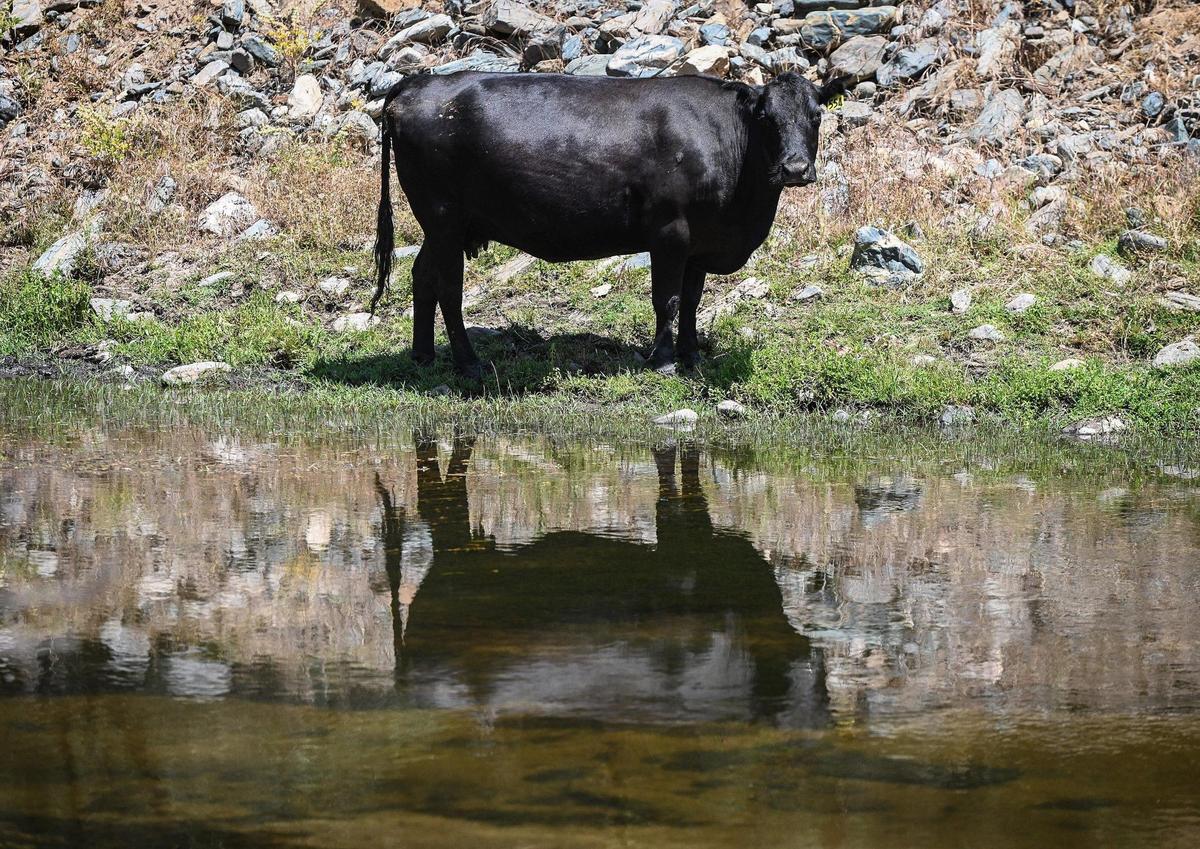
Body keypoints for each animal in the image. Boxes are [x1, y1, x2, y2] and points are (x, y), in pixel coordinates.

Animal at [372, 70, 841, 378]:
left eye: (816, 115)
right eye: (766, 117)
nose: (795, 168)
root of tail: (416, 83)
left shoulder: (701, 243)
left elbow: (691, 301)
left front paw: (691, 356)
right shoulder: (670, 233)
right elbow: (667, 299)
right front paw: (664, 360)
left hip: (440, 227)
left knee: (422, 276)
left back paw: (423, 355)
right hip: (444, 219)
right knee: (448, 288)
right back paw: (468, 364)